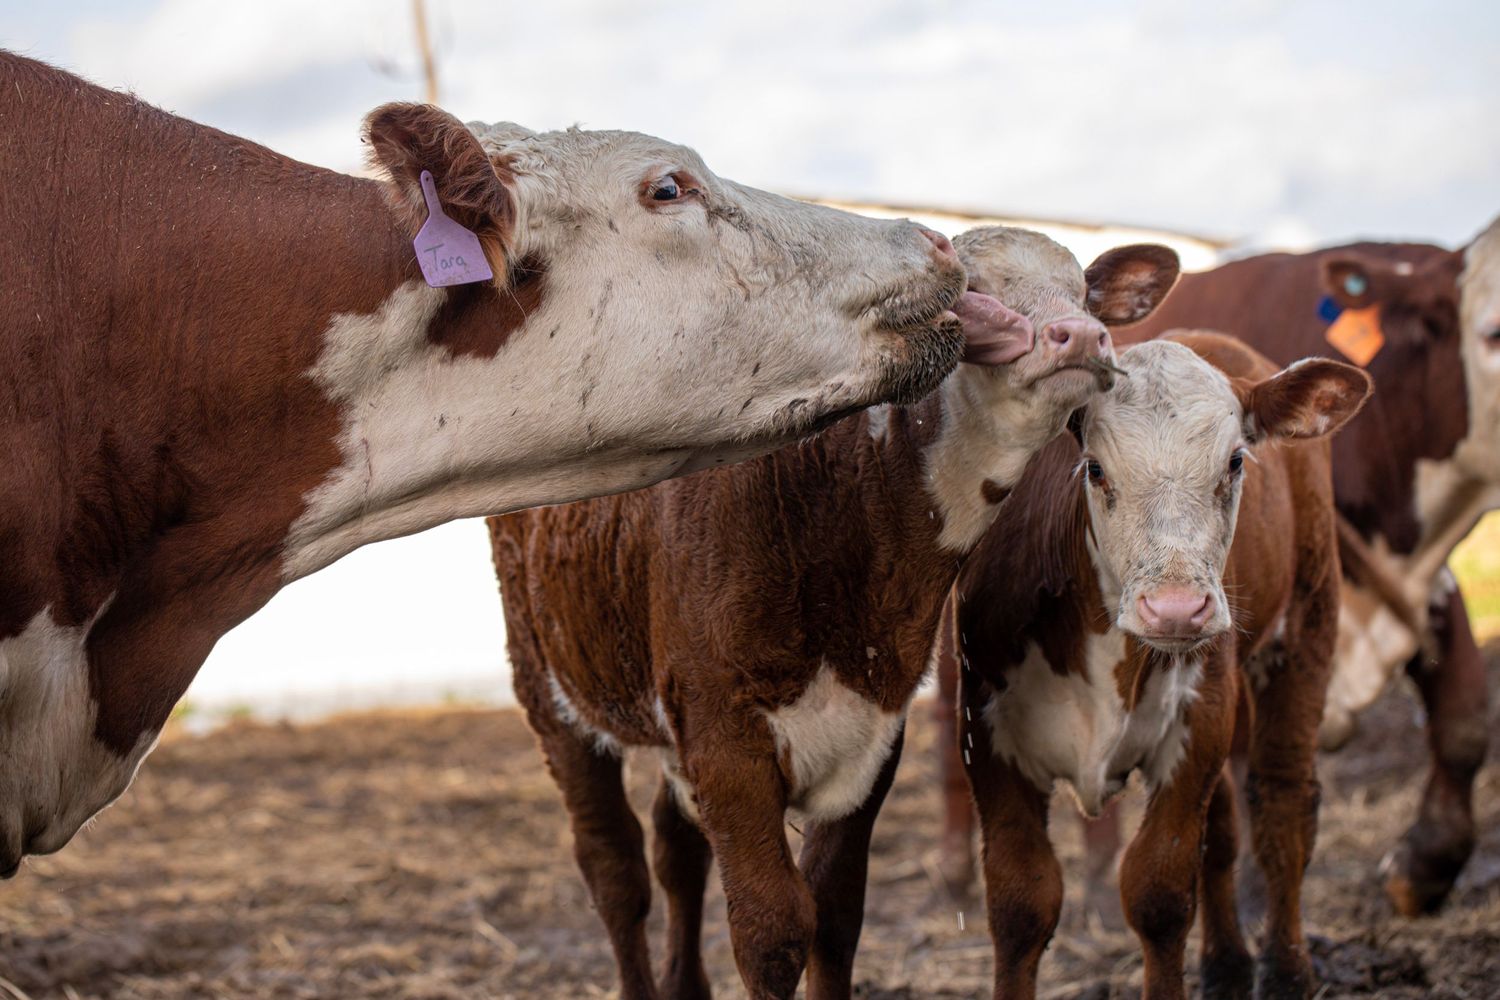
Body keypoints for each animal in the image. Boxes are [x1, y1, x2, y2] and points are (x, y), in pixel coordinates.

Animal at [490, 226, 1180, 1000]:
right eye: (972, 289)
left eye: (1084, 291)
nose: (1083, 336)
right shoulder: (724, 732)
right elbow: (772, 930)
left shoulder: (873, 727)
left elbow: (836, 911)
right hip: (549, 686)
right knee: (614, 870)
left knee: (675, 848)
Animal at [948, 333, 1369, 1000]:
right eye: (1095, 468)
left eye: (1235, 462)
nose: (1175, 609)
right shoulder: (988, 736)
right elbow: (1020, 905)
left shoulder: (1199, 725)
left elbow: (1160, 893)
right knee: (1223, 829)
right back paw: (1226, 965)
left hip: (1308, 617)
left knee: (1281, 805)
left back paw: (1286, 970)